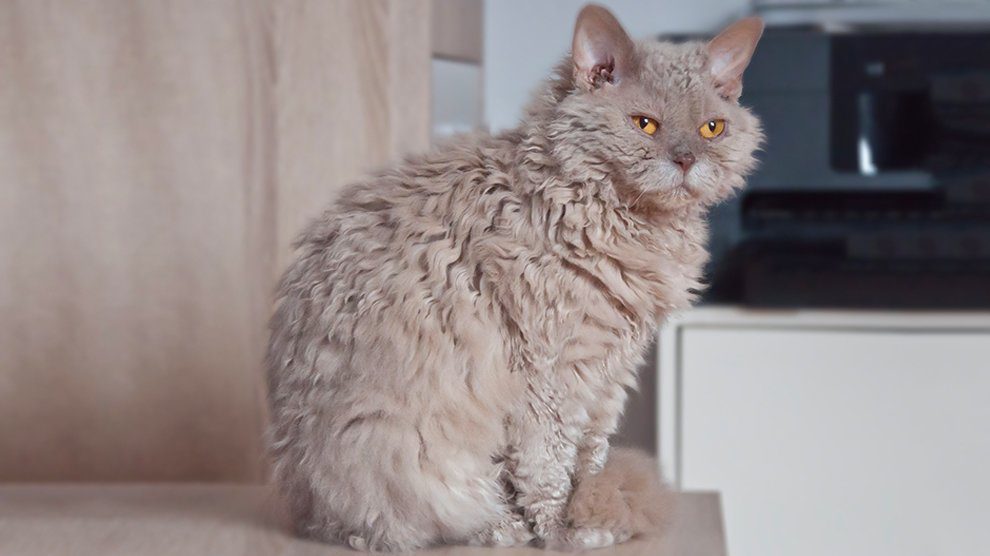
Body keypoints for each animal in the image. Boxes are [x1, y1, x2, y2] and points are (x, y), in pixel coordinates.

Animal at [266, 4, 768, 552]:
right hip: (402, 449)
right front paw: (561, 531)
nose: (686, 159)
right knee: (400, 518)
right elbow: (547, 468)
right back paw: (499, 528)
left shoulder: (611, 373)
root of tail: (304, 506)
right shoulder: (550, 372)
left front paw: (586, 516)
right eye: (645, 124)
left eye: (712, 128)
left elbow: (587, 461)